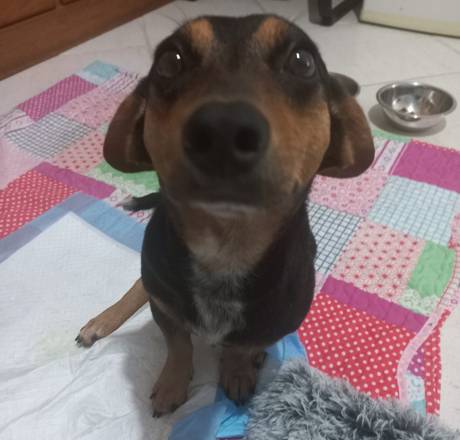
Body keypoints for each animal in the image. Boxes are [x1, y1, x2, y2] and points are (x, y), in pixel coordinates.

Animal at [76, 14, 374, 416]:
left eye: (303, 61)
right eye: (170, 60)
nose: (223, 129)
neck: (225, 246)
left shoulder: (276, 321)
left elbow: (242, 346)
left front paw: (238, 371)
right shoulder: (165, 305)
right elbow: (179, 344)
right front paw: (172, 384)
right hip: (153, 273)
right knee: (139, 287)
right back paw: (102, 320)